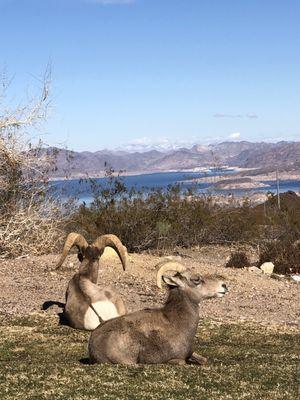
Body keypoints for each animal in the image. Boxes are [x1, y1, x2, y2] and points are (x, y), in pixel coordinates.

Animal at [88, 260, 229, 366]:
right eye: (196, 279)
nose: (224, 286)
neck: (176, 322)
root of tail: (93, 345)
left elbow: (204, 360)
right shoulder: (174, 360)